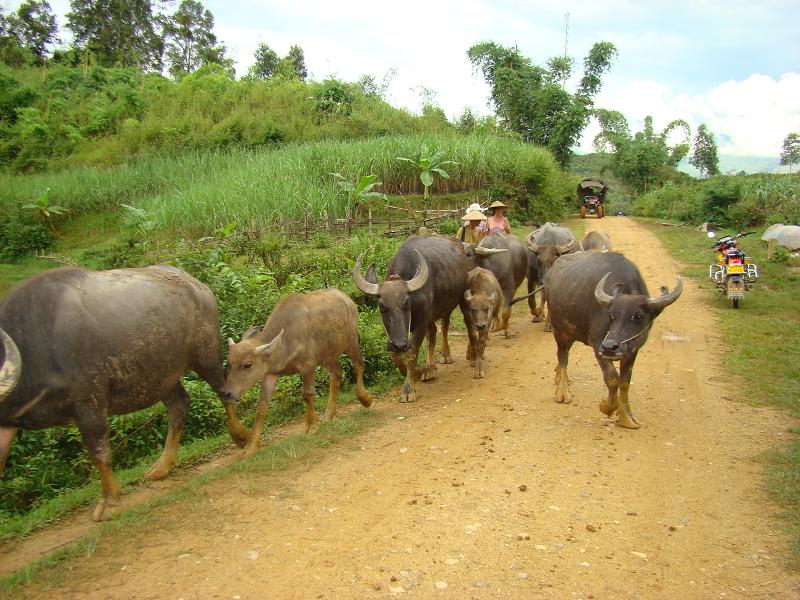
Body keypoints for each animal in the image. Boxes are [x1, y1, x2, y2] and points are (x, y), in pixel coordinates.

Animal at [0, 268, 245, 520]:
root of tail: (196, 285)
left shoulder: (89, 401)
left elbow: (99, 453)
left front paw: (111, 503)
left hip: (205, 356)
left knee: (223, 390)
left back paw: (240, 436)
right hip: (162, 376)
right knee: (179, 405)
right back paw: (163, 465)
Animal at [220, 290, 374, 454]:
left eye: (248, 364)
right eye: (229, 363)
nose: (226, 393)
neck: (286, 340)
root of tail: (346, 299)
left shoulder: (308, 366)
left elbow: (307, 394)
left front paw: (312, 427)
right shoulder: (269, 374)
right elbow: (262, 406)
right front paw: (251, 447)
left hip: (351, 342)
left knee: (359, 365)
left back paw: (365, 398)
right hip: (327, 356)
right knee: (336, 374)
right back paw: (328, 414)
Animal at [354, 236, 472, 404]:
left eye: (406, 303)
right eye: (382, 305)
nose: (400, 344)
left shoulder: (421, 323)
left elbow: (411, 353)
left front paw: (408, 389)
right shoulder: (393, 332)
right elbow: (395, 356)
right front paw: (417, 372)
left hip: (458, 300)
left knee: (450, 325)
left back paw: (454, 355)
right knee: (433, 332)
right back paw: (430, 368)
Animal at [548, 251, 684, 428]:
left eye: (638, 316)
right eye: (611, 315)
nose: (609, 347)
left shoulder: (633, 349)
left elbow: (625, 382)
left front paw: (626, 417)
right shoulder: (597, 344)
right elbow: (612, 379)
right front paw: (607, 407)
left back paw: (559, 377)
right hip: (559, 330)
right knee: (563, 356)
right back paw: (562, 392)